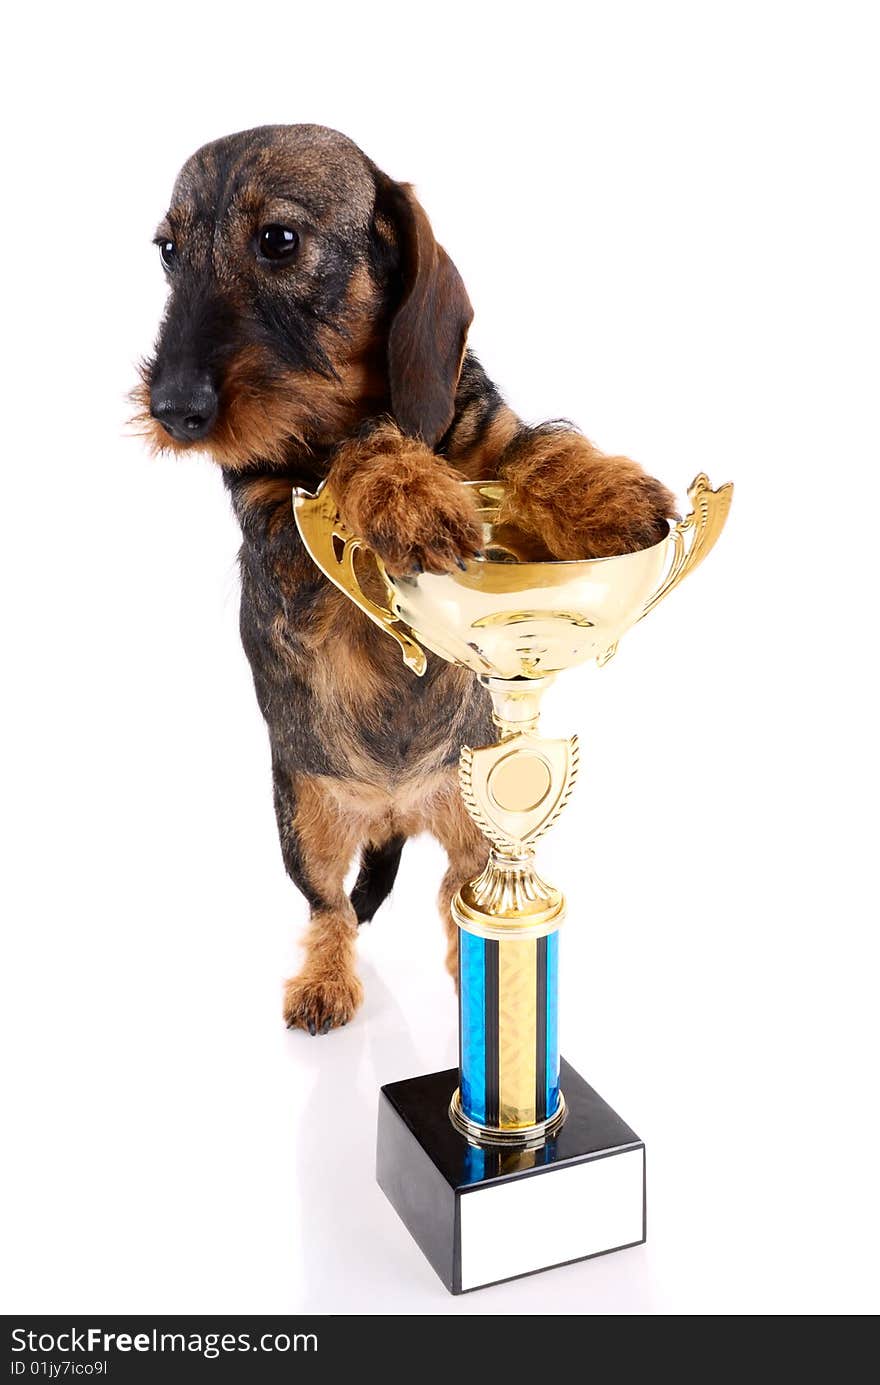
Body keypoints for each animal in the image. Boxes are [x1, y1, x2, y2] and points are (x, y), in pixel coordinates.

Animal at [135, 127, 673, 1030]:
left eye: (278, 239)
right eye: (169, 251)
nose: (174, 411)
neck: (346, 401)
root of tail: (395, 812)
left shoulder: (489, 438)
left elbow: (536, 446)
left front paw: (608, 492)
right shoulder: (286, 546)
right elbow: (351, 459)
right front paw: (407, 490)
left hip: (473, 820)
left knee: (461, 901)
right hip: (304, 816)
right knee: (332, 909)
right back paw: (326, 982)